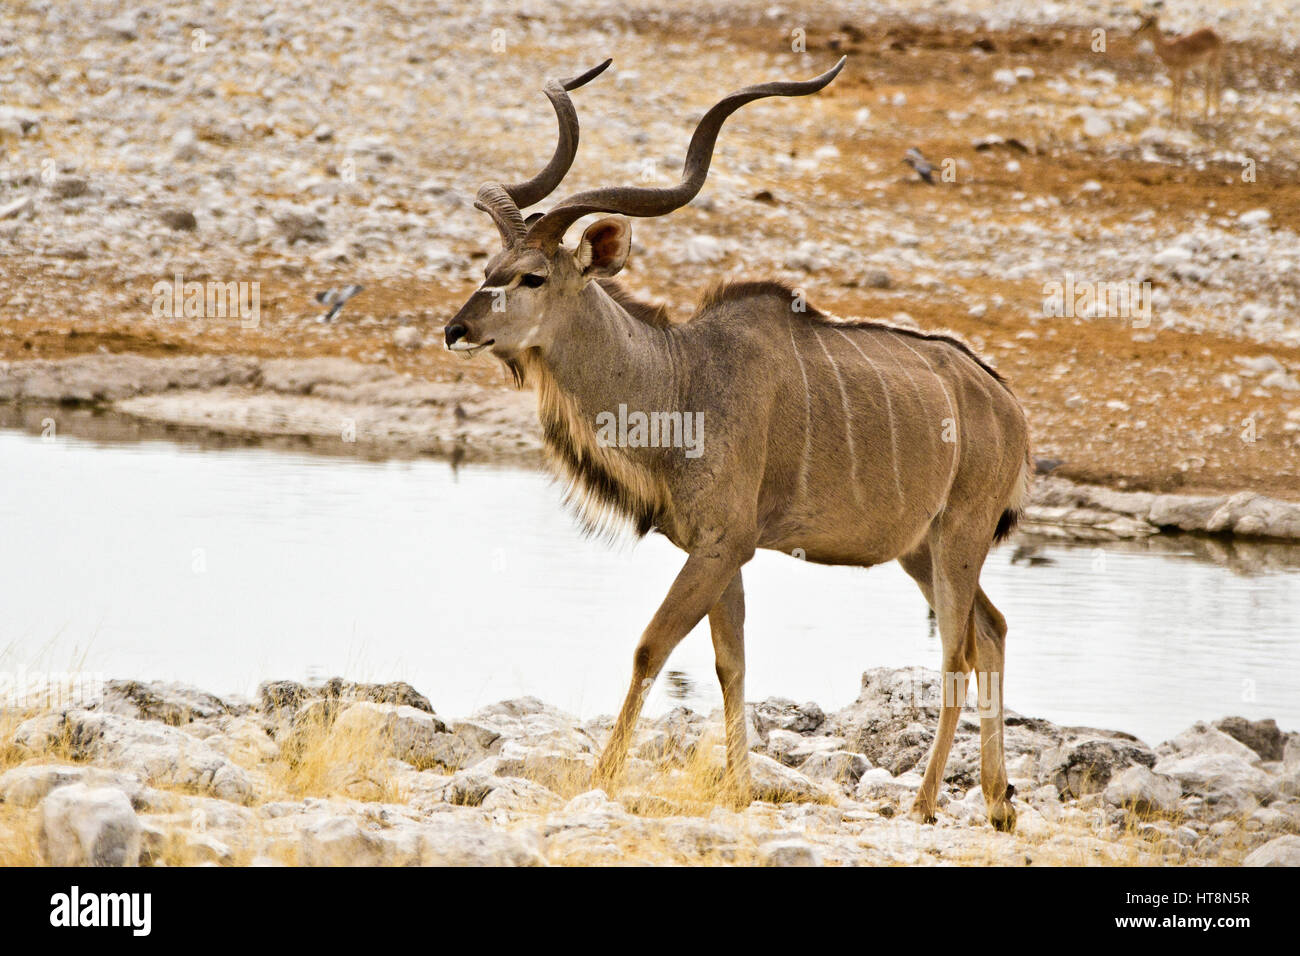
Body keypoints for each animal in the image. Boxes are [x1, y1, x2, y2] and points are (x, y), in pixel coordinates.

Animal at [447, 55, 1034, 832]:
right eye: (488, 267)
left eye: (532, 276)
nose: (455, 329)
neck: (682, 380)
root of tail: (1007, 405)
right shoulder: (721, 551)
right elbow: (732, 663)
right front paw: (739, 789)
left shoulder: (724, 544)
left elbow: (650, 647)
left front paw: (601, 776)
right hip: (922, 548)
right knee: (992, 632)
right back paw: (997, 803)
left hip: (960, 536)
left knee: (957, 655)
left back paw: (926, 801)